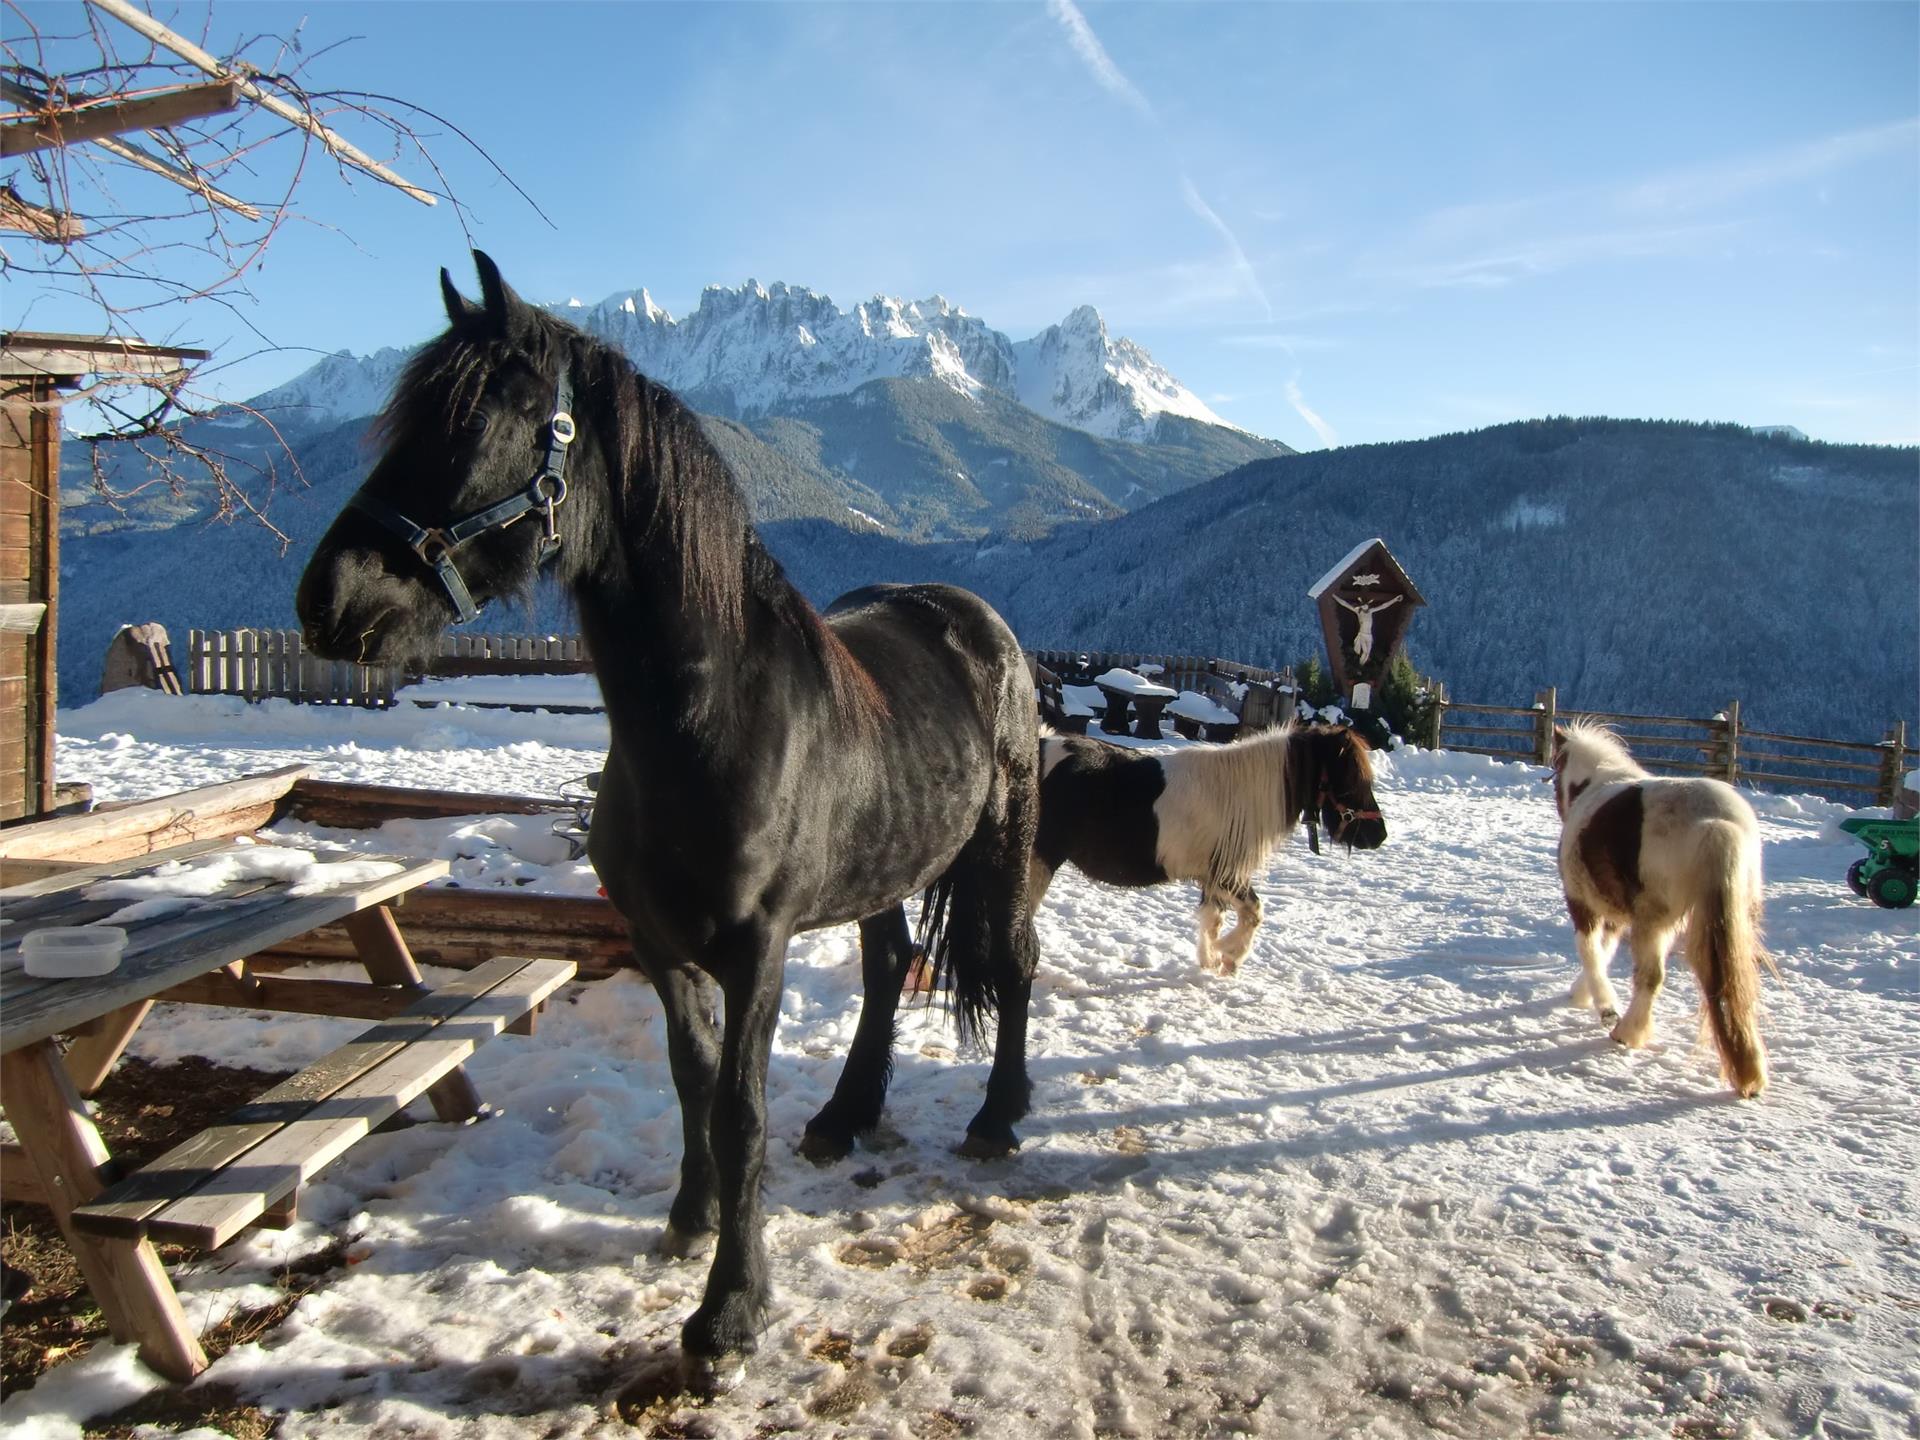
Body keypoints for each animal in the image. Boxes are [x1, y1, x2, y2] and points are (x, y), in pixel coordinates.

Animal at [295, 253, 1052, 1382]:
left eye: (487, 420)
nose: (328, 601)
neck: (712, 723)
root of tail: (975, 619)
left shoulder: (757, 947)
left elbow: (739, 1108)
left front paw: (731, 1310)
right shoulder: (656, 941)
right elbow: (690, 1080)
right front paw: (691, 1221)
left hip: (1003, 840)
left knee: (1012, 960)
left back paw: (998, 1119)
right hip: (882, 862)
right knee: (887, 965)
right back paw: (846, 1116)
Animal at [1029, 725, 1390, 975]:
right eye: (1353, 781)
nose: (1379, 835)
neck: (1245, 795)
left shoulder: (1214, 879)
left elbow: (1213, 919)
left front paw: (1211, 958)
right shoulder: (1228, 875)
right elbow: (1253, 913)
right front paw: (1229, 954)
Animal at [1543, 721, 1766, 1105]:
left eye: (1557, 774)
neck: (1596, 783)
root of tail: (1716, 822)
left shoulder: (1583, 902)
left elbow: (1589, 949)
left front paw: (1602, 1004)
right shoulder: (1614, 914)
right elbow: (1604, 949)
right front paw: (1584, 992)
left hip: (1652, 921)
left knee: (1651, 977)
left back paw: (1627, 1031)